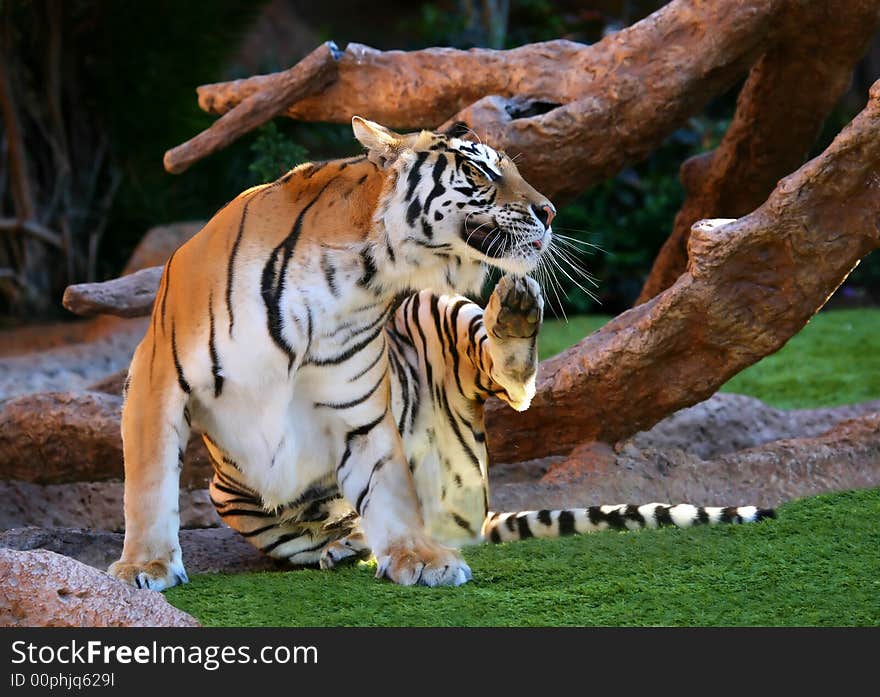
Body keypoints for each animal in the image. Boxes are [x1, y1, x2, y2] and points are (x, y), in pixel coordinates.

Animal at [106, 117, 772, 588]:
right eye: (482, 173)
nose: (550, 211)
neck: (362, 274)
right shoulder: (156, 378)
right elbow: (148, 485)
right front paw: (144, 568)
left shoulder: (357, 405)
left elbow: (387, 480)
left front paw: (418, 558)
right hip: (230, 493)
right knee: (316, 531)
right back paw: (340, 546)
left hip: (443, 312)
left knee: (511, 384)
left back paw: (518, 306)